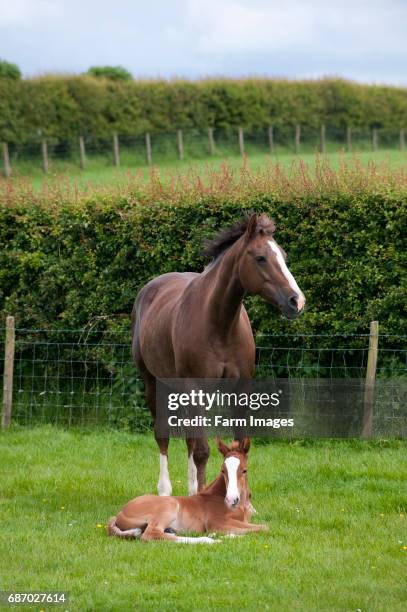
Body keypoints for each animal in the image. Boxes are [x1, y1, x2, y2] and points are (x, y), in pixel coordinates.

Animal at [108, 438, 268, 544]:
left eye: (245, 470)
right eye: (223, 470)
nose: (231, 500)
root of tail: (120, 512)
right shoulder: (218, 523)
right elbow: (264, 527)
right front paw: (220, 535)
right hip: (168, 505)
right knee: (151, 534)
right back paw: (209, 540)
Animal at [134, 215, 306, 498]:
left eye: (283, 255)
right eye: (260, 258)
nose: (296, 301)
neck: (220, 324)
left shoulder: (240, 388)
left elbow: (236, 446)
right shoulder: (196, 389)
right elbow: (203, 451)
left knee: (188, 439)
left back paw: (191, 489)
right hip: (153, 382)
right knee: (164, 436)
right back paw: (165, 492)